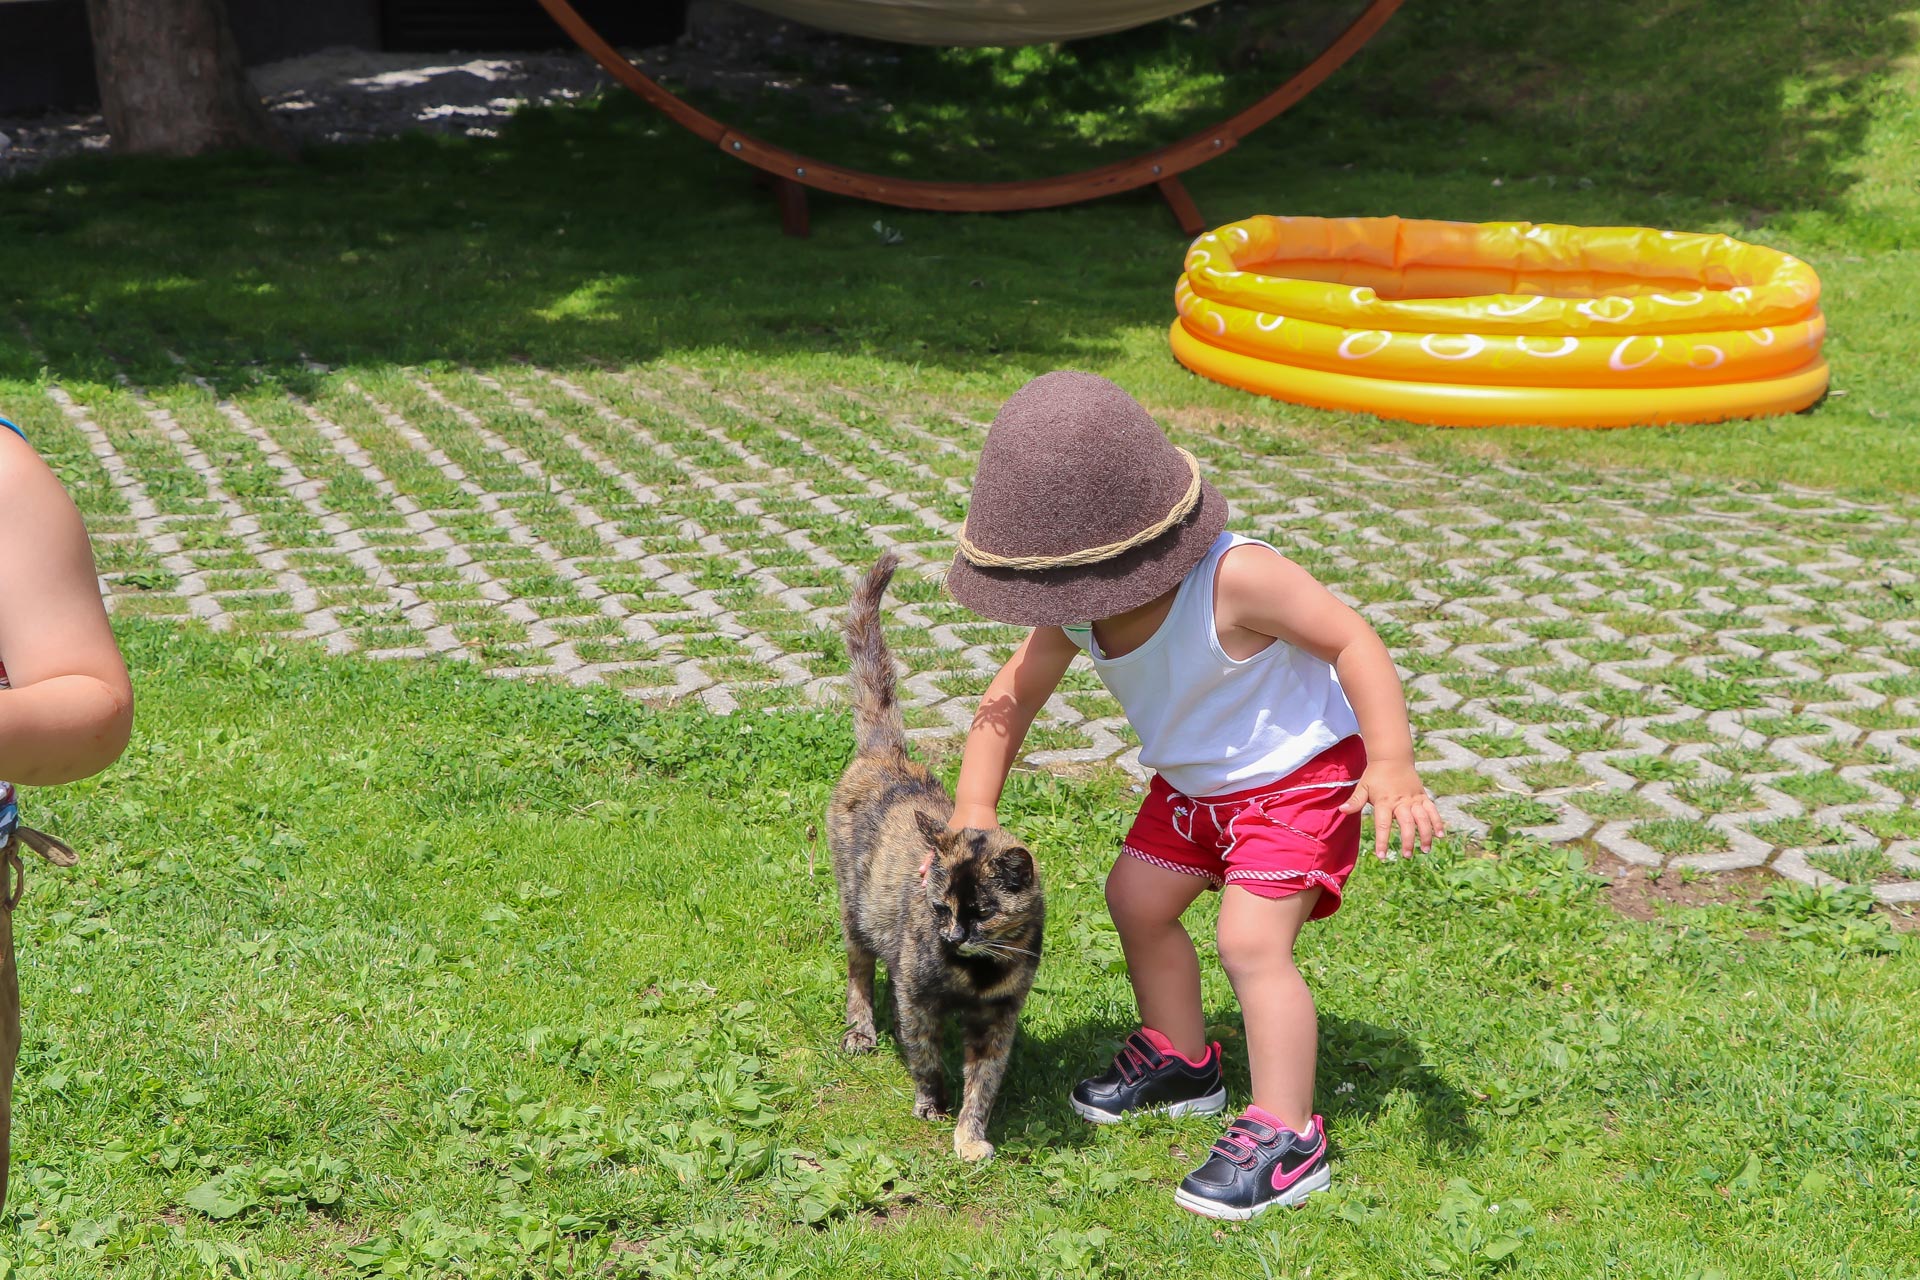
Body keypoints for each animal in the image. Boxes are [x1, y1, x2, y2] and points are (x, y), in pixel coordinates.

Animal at [821, 552, 1036, 1159]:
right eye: (940, 907)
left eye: (982, 911)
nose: (952, 936)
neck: (977, 974)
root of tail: (887, 753)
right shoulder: (917, 998)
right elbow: (924, 1055)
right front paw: (930, 1104)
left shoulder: (1000, 1018)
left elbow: (983, 1081)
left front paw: (970, 1137)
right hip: (854, 910)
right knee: (859, 971)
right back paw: (861, 1031)